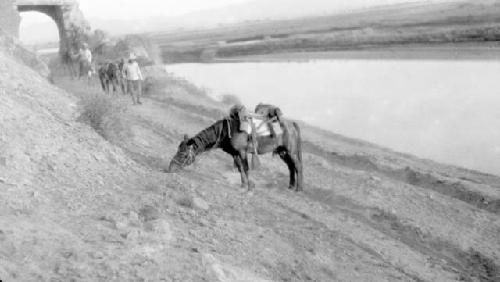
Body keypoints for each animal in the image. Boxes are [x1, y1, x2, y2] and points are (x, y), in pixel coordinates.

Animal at [168, 104, 302, 191]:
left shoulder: (242, 152)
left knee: (297, 167)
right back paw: (291, 186)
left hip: (291, 152)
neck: (227, 130)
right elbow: (239, 168)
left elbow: (246, 168)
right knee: (291, 168)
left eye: (184, 154)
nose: (170, 168)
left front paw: (250, 187)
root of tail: (292, 124)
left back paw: (299, 188)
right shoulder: (234, 153)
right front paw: (243, 185)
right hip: (282, 152)